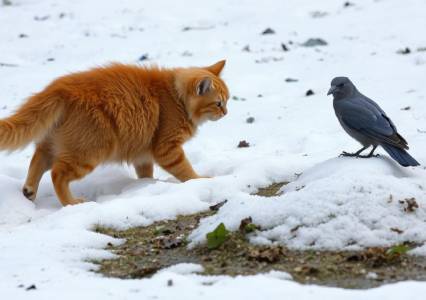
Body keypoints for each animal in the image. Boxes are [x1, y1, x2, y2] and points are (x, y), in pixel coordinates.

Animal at [0, 61, 230, 206]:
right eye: (218, 103)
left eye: (227, 100)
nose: (226, 113)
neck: (176, 97)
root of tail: (60, 87)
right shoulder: (167, 149)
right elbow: (185, 171)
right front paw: (200, 180)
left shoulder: (143, 154)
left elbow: (146, 174)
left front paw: (146, 186)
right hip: (89, 151)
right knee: (58, 174)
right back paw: (71, 203)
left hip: (58, 143)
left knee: (38, 158)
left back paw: (29, 191)